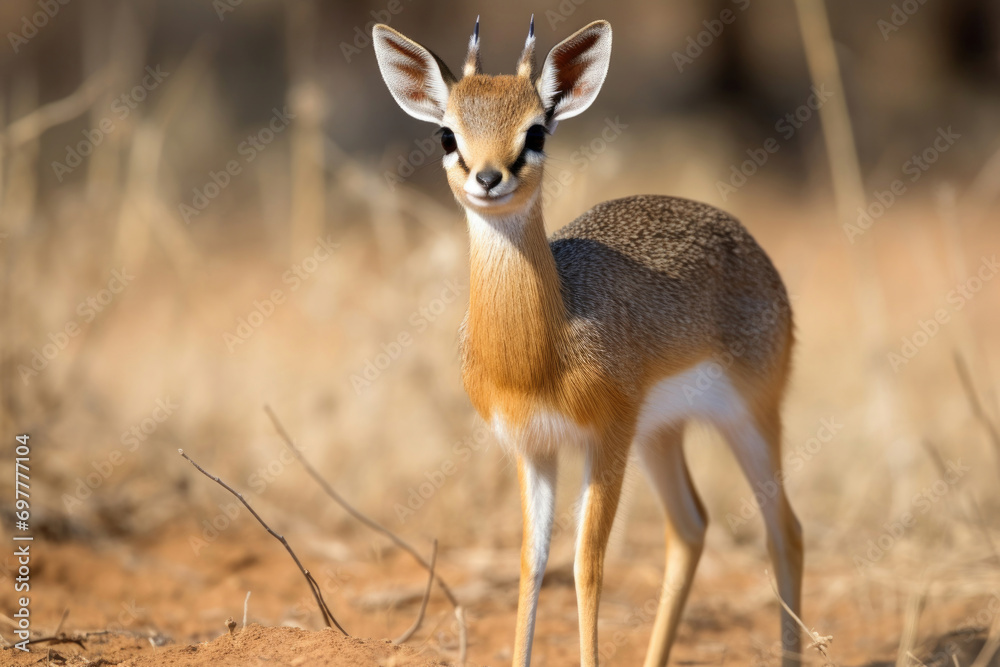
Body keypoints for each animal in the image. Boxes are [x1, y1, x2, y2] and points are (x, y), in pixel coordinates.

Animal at [376, 15, 804, 667]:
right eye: (448, 135)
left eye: (536, 131)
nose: (488, 178)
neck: (537, 353)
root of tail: (745, 239)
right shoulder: (534, 447)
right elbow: (531, 564)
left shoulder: (604, 441)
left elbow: (586, 565)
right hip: (659, 435)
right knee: (690, 527)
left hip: (748, 418)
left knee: (785, 532)